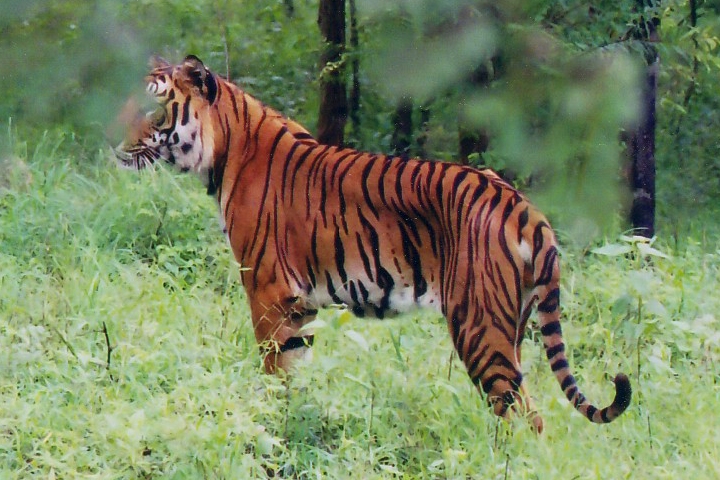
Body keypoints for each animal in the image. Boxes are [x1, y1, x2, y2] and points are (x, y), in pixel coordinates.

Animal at [114, 55, 631, 432]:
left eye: (155, 109)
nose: (113, 141)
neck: (222, 151)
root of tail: (524, 207)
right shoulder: (299, 305)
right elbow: (296, 372)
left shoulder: (267, 292)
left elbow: (274, 373)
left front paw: (269, 427)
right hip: (512, 325)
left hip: (479, 327)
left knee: (526, 418)